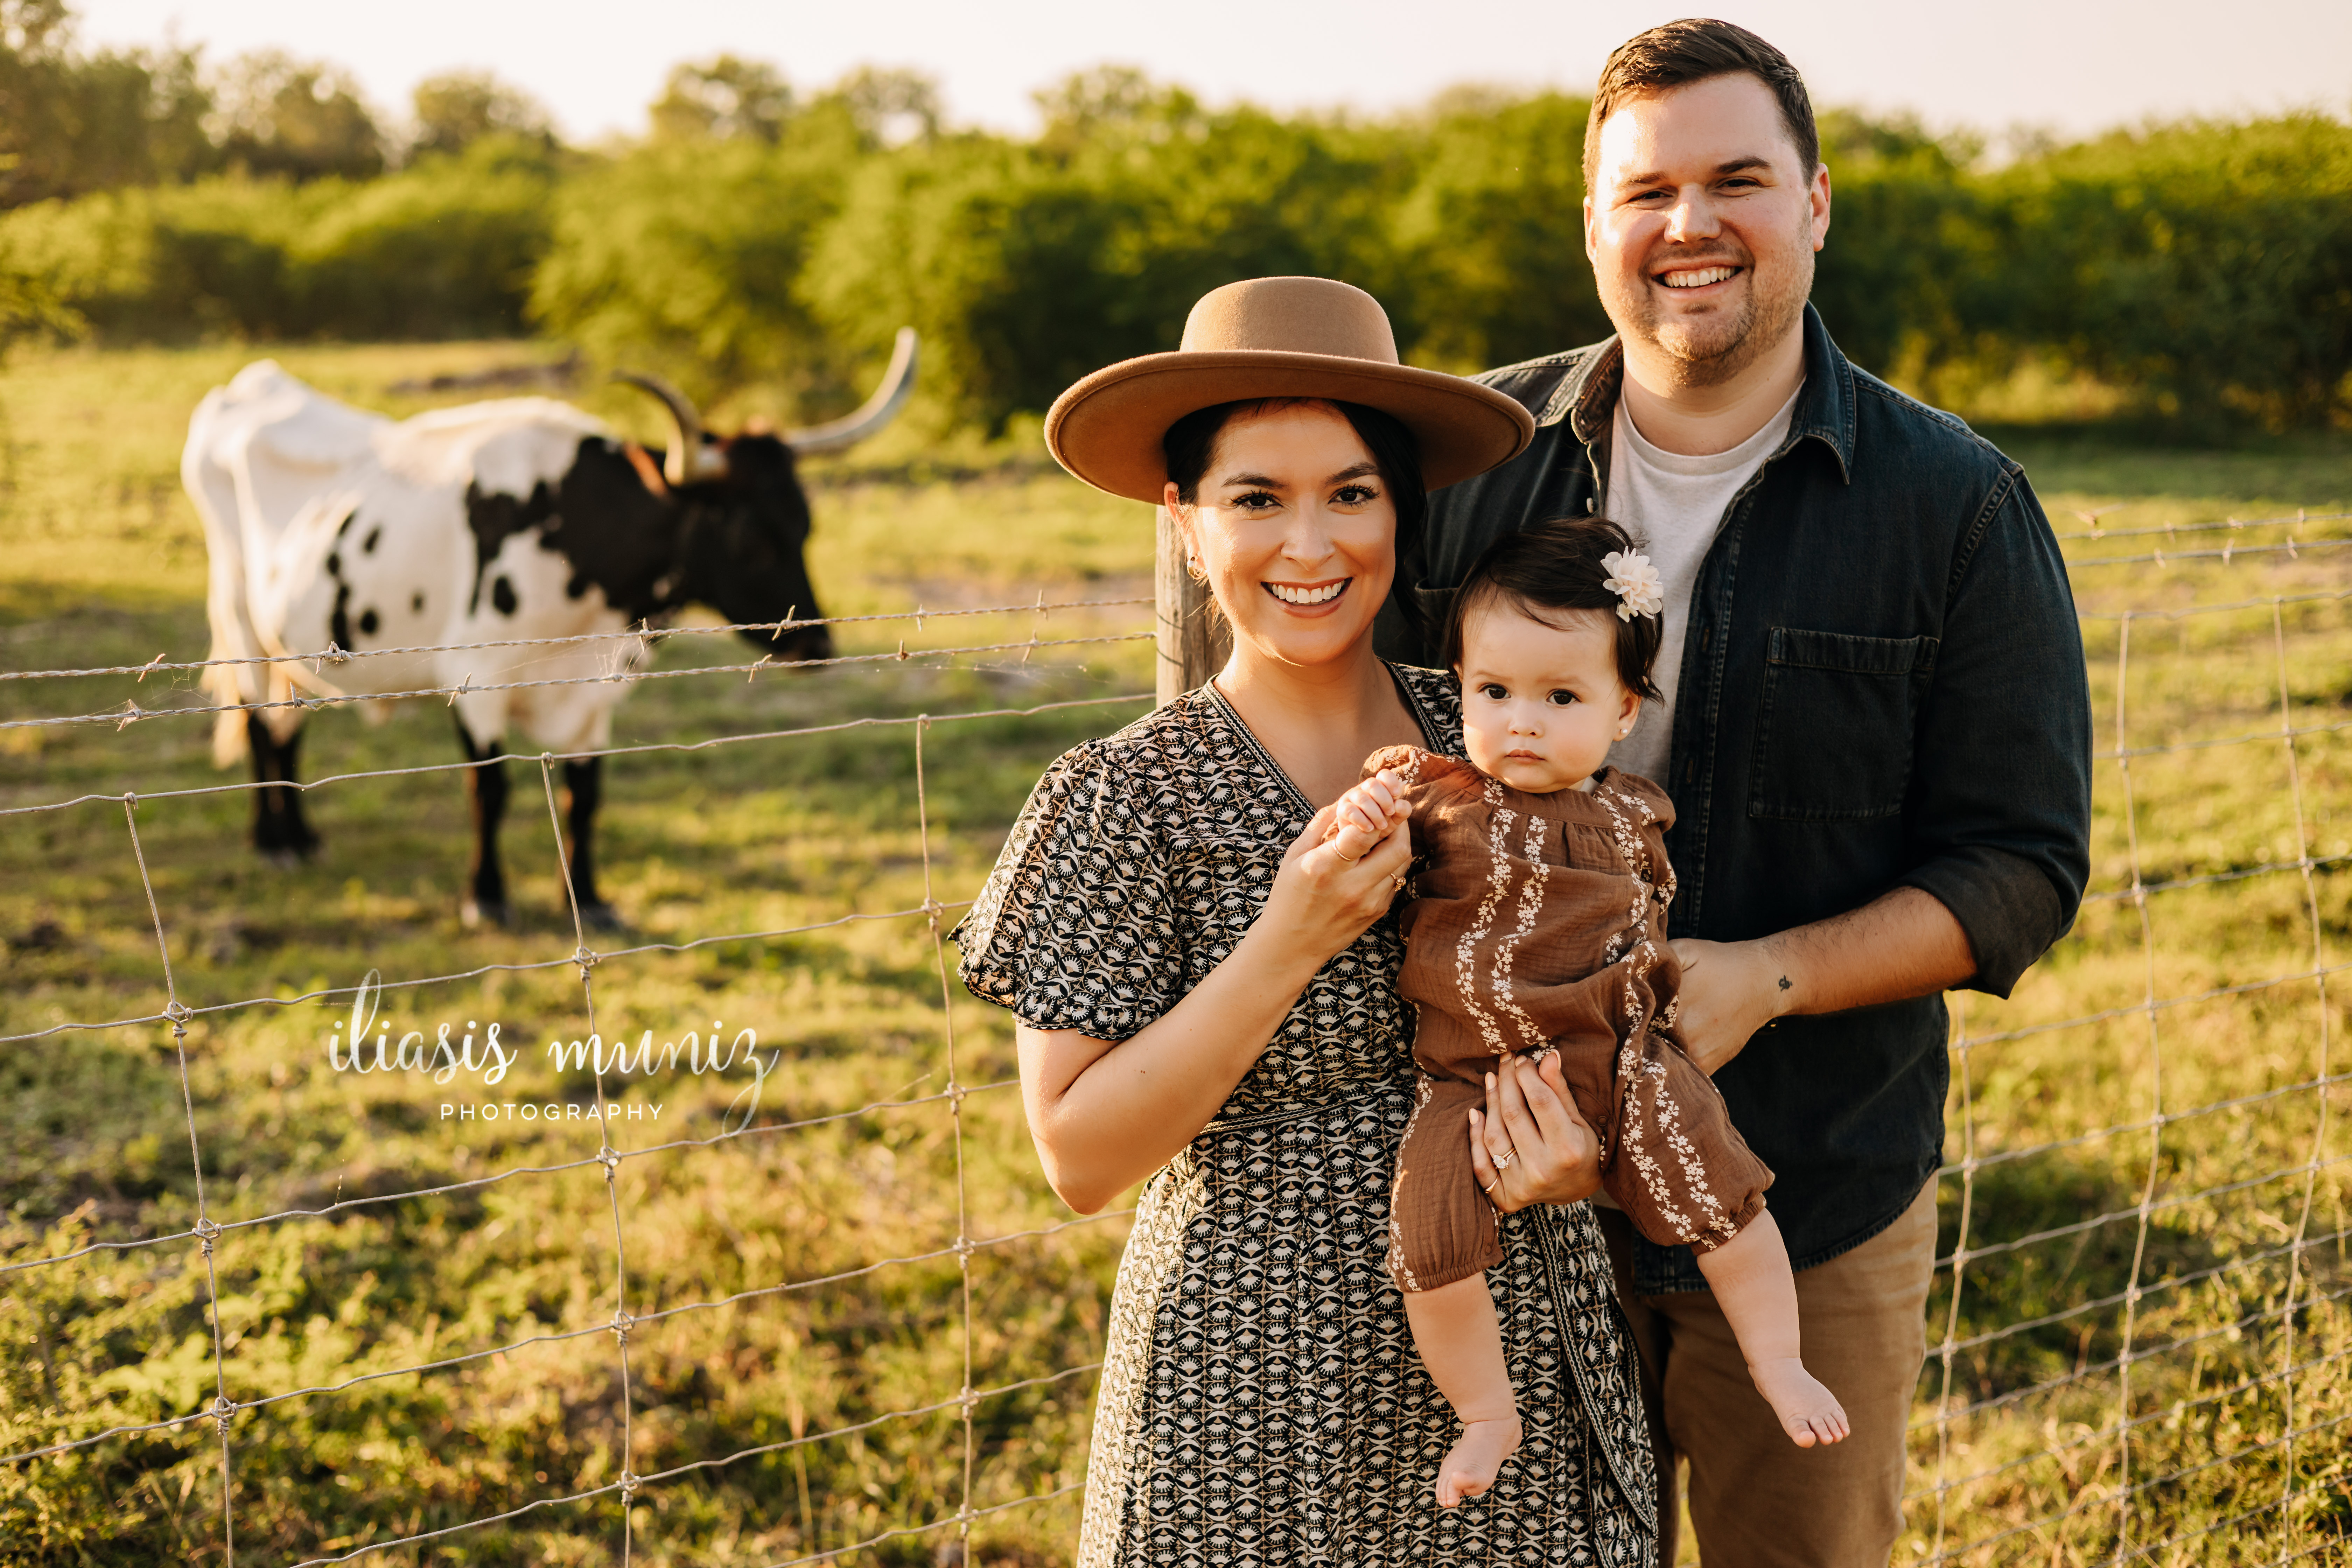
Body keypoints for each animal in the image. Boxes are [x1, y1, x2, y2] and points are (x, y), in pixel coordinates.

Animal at [181, 329, 917, 921]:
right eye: (748, 538)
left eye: (805, 525)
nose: (818, 644)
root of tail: (249, 385)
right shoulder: (477, 681)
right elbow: (491, 789)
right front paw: (486, 897)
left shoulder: (595, 693)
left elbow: (584, 797)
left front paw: (587, 899)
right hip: (240, 616)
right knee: (257, 715)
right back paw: (274, 842)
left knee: (286, 721)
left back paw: (301, 837)